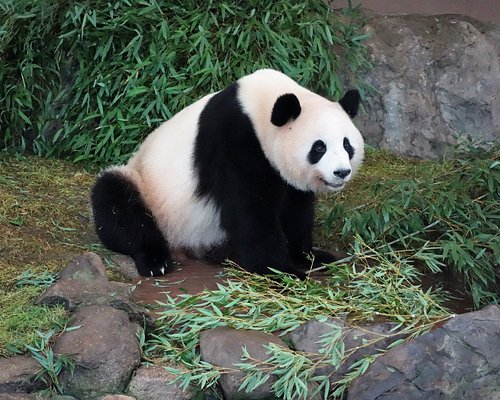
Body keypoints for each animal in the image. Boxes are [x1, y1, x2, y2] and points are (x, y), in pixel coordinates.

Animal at [91, 69, 364, 278]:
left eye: (346, 144)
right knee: (116, 203)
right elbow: (250, 211)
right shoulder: (234, 141)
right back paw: (155, 261)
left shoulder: (286, 177)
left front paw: (312, 256)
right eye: (319, 147)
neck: (258, 107)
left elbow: (296, 211)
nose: (341, 172)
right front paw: (283, 271)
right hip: (147, 188)